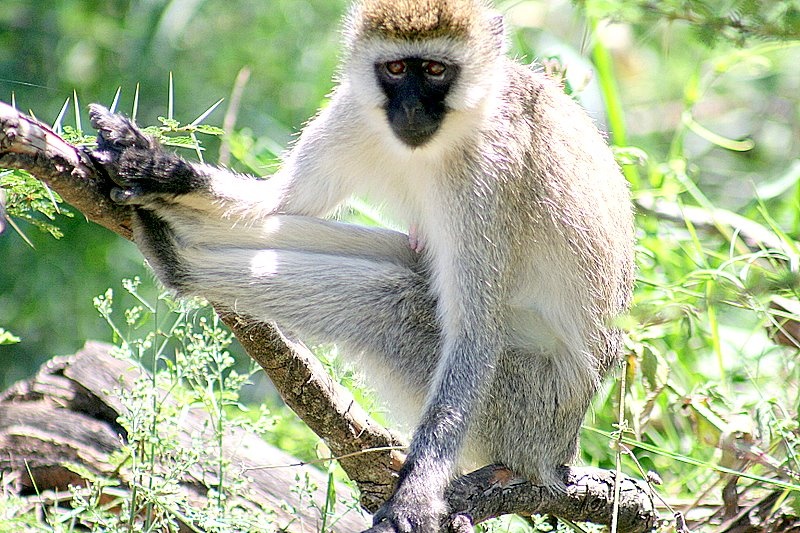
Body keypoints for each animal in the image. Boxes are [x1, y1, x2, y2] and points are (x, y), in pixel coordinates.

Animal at [88, 0, 635, 530]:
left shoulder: (489, 174)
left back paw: (177, 261)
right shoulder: (352, 110)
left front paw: (414, 497)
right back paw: (174, 235)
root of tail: (560, 450)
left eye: (435, 69)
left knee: (392, 297)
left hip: (521, 407)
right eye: (394, 68)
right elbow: (277, 203)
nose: (410, 108)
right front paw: (158, 170)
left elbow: (476, 331)